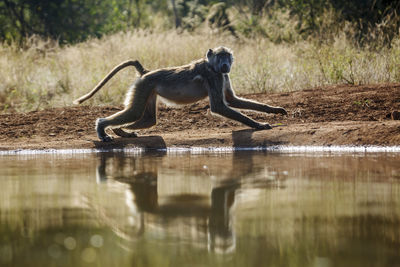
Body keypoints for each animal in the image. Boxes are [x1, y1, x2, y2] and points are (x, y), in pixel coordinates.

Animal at [73, 46, 288, 142]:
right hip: (144, 86)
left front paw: (274, 110)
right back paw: (103, 129)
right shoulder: (215, 77)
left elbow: (232, 100)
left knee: (149, 119)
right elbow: (219, 106)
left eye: (227, 56)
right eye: (220, 56)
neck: (212, 66)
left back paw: (121, 131)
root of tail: (146, 72)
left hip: (148, 89)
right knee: (134, 112)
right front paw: (259, 125)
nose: (226, 65)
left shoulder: (223, 77)